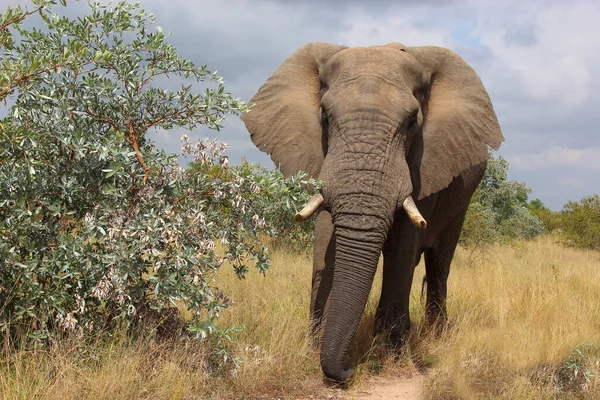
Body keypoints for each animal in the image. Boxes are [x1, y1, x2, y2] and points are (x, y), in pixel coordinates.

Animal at [239, 42, 502, 382]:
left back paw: (436, 333)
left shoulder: (425, 164)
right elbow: (326, 238)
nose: (348, 370)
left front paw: (389, 353)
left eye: (412, 122)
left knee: (439, 262)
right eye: (324, 116)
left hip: (463, 195)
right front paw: (315, 347)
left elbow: (403, 245)